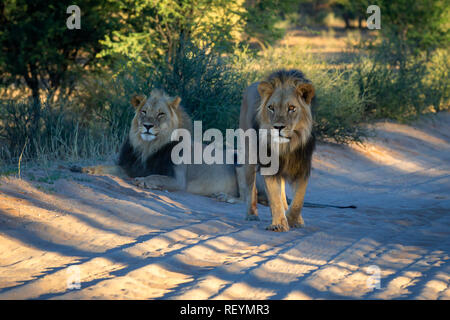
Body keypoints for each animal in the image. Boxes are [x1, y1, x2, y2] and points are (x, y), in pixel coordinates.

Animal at [236, 69, 316, 231]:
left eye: (291, 108)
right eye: (271, 108)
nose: (278, 127)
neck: (286, 146)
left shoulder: (303, 167)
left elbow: (298, 199)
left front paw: (294, 220)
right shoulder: (269, 166)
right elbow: (274, 196)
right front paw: (279, 224)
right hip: (249, 155)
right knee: (250, 187)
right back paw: (252, 214)